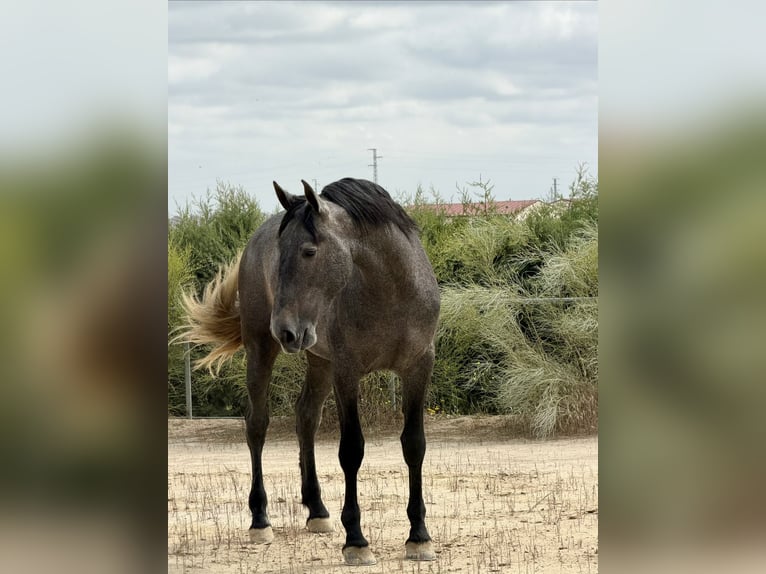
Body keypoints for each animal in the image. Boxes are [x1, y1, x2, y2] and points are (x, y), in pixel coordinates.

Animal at [180, 178, 440, 565]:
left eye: (309, 251)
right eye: (280, 255)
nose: (284, 330)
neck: (390, 291)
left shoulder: (418, 368)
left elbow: (414, 445)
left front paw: (419, 537)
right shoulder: (347, 372)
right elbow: (351, 450)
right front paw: (356, 541)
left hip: (319, 361)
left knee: (305, 417)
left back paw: (317, 511)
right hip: (262, 351)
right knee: (256, 425)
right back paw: (260, 520)